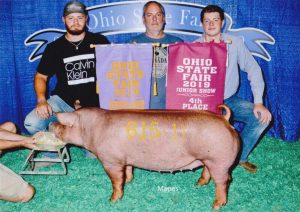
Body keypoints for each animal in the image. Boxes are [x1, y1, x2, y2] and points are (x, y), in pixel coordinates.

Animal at [49, 105, 241, 210]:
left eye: (63, 125)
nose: (50, 124)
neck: (92, 128)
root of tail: (225, 120)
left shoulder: (111, 160)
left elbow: (116, 181)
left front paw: (112, 200)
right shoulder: (125, 159)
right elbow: (128, 170)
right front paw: (129, 181)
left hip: (219, 161)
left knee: (224, 181)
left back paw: (216, 205)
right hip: (209, 160)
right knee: (208, 172)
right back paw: (198, 184)